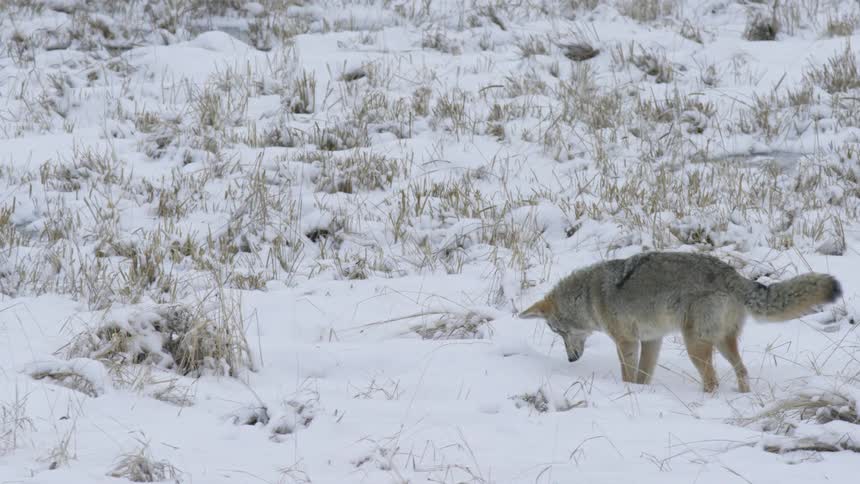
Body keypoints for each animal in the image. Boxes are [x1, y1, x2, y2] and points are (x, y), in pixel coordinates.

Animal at [519, 252, 841, 392]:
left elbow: (628, 376)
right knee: (743, 371)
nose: (571, 360)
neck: (590, 294)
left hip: (695, 346)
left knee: (712, 380)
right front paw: (643, 394)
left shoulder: (626, 342)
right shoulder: (652, 340)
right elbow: (643, 376)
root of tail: (733, 274)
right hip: (721, 344)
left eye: (558, 332)